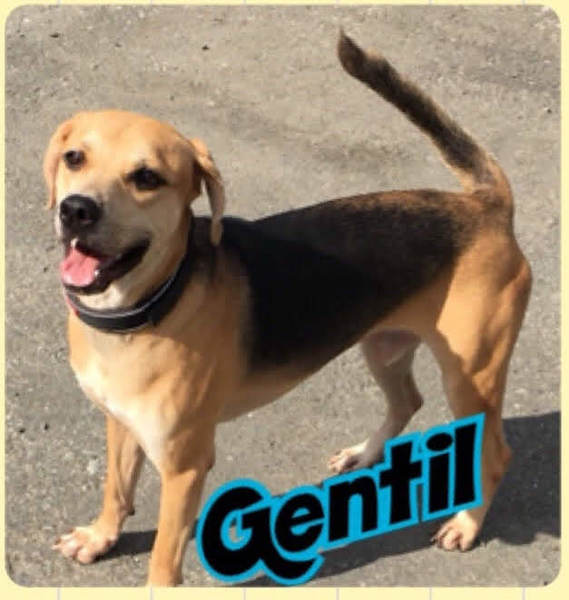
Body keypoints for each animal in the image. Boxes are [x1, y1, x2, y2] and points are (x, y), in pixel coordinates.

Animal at [46, 33, 531, 586]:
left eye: (147, 177)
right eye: (75, 157)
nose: (77, 210)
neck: (151, 305)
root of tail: (487, 206)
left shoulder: (185, 466)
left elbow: (164, 557)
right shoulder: (121, 424)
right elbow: (116, 489)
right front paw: (99, 536)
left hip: (470, 376)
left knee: (494, 455)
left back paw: (467, 523)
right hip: (383, 346)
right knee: (408, 401)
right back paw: (364, 455)